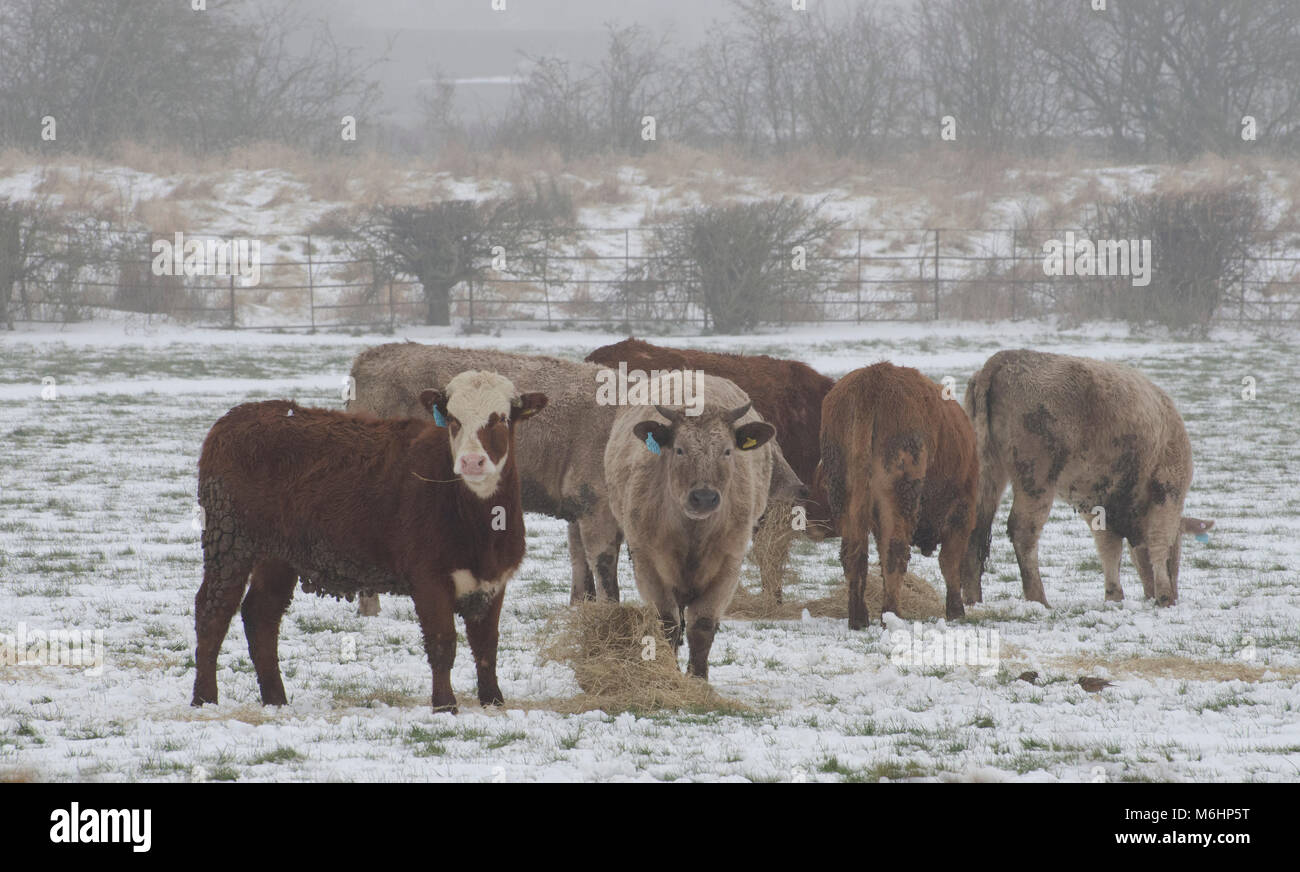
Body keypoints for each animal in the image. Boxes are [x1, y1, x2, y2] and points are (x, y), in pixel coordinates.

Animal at [191, 370, 547, 713]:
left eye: (501, 419)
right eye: (453, 419)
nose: (472, 462)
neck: (479, 524)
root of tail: (239, 415)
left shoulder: (494, 579)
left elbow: (487, 644)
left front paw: (493, 700)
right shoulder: (428, 578)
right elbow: (442, 642)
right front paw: (445, 704)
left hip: (277, 554)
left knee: (262, 614)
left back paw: (276, 699)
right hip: (229, 541)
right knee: (213, 611)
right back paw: (204, 698)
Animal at [605, 374, 785, 678]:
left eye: (727, 451)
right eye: (679, 449)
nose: (704, 497)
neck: (693, 533)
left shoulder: (728, 565)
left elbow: (702, 625)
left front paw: (698, 677)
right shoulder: (647, 562)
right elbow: (666, 622)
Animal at [818, 362, 979, 628]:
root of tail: (872, 381)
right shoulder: (963, 510)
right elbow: (950, 561)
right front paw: (956, 611)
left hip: (841, 491)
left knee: (854, 553)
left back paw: (859, 618)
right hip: (901, 494)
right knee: (895, 551)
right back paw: (892, 615)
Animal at [960, 349, 1193, 608]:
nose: (1173, 594)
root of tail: (1002, 360)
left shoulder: (1095, 505)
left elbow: (1109, 548)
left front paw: (1114, 596)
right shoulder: (1167, 490)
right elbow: (1157, 542)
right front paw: (1164, 595)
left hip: (989, 474)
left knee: (976, 531)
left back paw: (973, 600)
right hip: (1037, 482)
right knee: (1023, 531)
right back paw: (1040, 600)